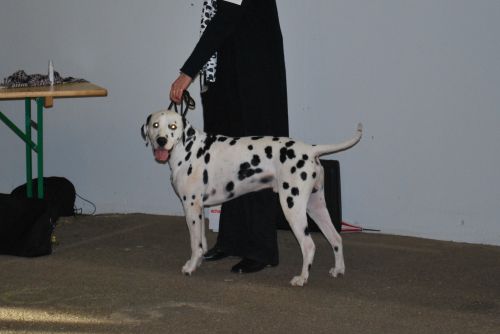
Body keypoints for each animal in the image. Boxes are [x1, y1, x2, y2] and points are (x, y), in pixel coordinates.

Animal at [140, 94, 360, 288]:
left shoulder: (191, 206)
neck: (188, 149)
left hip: (293, 206)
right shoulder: (199, 208)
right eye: (155, 125)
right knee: (336, 238)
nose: (161, 140)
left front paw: (191, 267)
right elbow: (201, 240)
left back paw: (302, 278)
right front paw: (199, 261)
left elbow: (195, 243)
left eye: (173, 126)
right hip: (316, 206)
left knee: (308, 245)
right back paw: (338, 269)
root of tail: (310, 149)